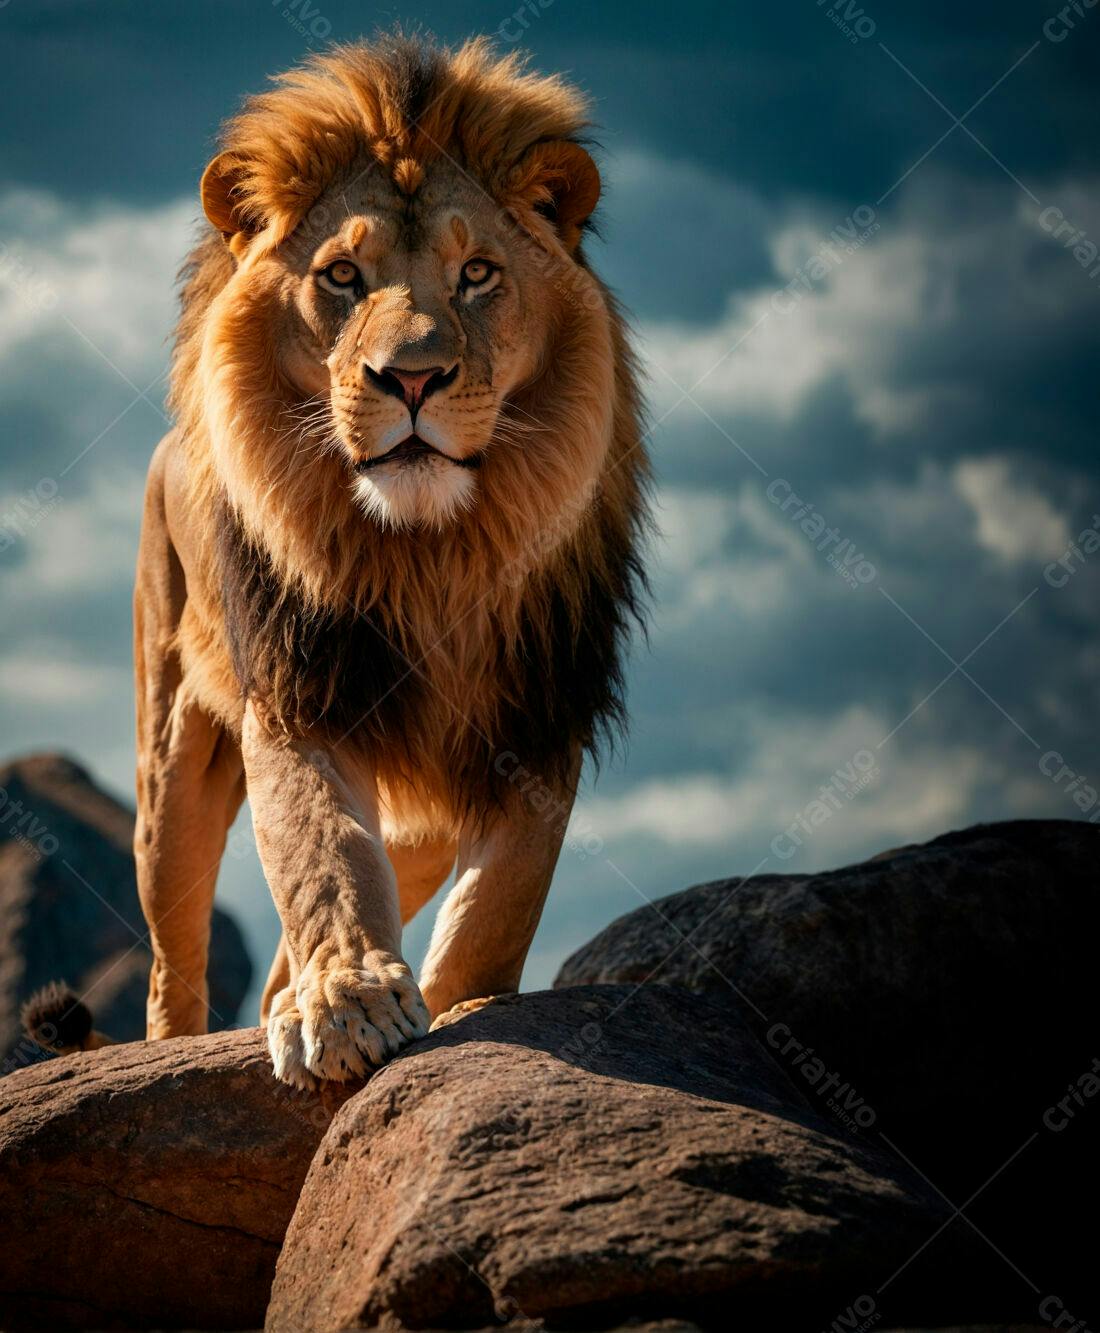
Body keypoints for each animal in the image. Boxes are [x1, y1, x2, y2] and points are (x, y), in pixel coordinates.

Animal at [27, 33, 649, 1088]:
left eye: (477, 272)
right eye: (344, 276)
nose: (412, 378)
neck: (433, 553)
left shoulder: (539, 716)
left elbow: (495, 911)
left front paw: (454, 1005)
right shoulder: (299, 692)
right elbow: (322, 852)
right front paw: (349, 1003)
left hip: (425, 813)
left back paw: (289, 998)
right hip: (170, 762)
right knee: (171, 955)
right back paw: (186, 1040)